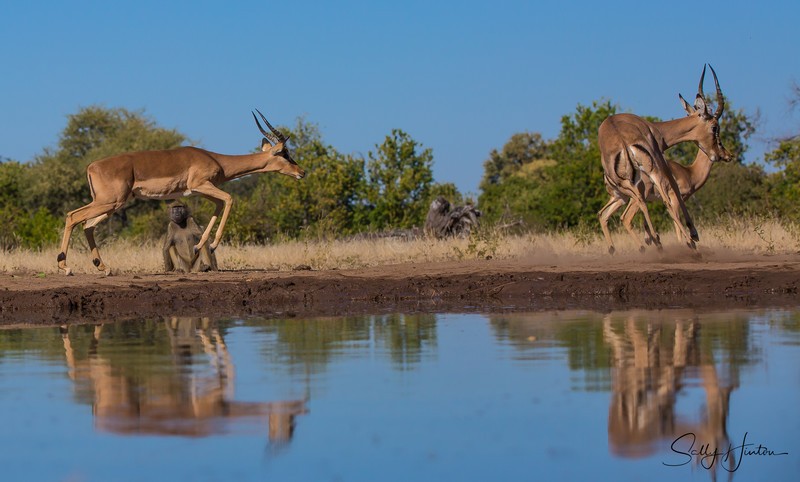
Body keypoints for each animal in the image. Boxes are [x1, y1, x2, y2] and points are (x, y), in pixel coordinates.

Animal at [57, 110, 304, 275]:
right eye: (284, 153)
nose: (301, 171)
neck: (217, 160)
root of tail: (92, 166)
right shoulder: (202, 185)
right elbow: (229, 199)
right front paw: (212, 245)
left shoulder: (198, 190)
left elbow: (218, 205)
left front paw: (200, 246)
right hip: (109, 202)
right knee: (73, 216)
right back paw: (65, 266)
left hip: (112, 205)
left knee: (87, 225)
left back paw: (104, 268)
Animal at [598, 65, 730, 253]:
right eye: (714, 127)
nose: (721, 154)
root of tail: (622, 141)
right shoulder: (661, 157)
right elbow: (674, 194)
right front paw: (693, 235)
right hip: (651, 171)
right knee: (662, 204)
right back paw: (685, 244)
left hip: (626, 187)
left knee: (617, 211)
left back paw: (645, 244)